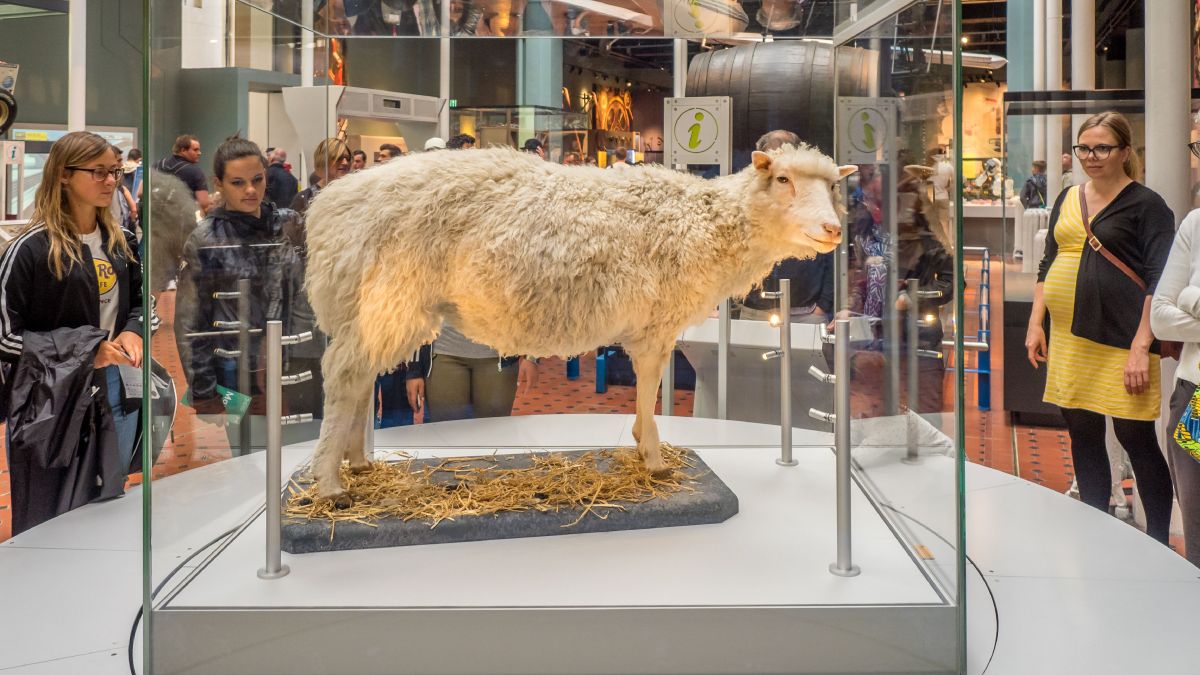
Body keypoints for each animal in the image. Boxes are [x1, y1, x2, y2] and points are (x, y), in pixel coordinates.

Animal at [304, 144, 859, 502]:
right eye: (783, 180)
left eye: (835, 186)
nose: (832, 229)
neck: (707, 222)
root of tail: (326, 206)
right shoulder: (656, 324)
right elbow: (649, 385)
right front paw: (653, 457)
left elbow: (647, 388)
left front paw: (641, 441)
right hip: (391, 297)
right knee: (345, 376)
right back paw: (330, 485)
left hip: (371, 308)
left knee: (359, 378)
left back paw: (358, 463)